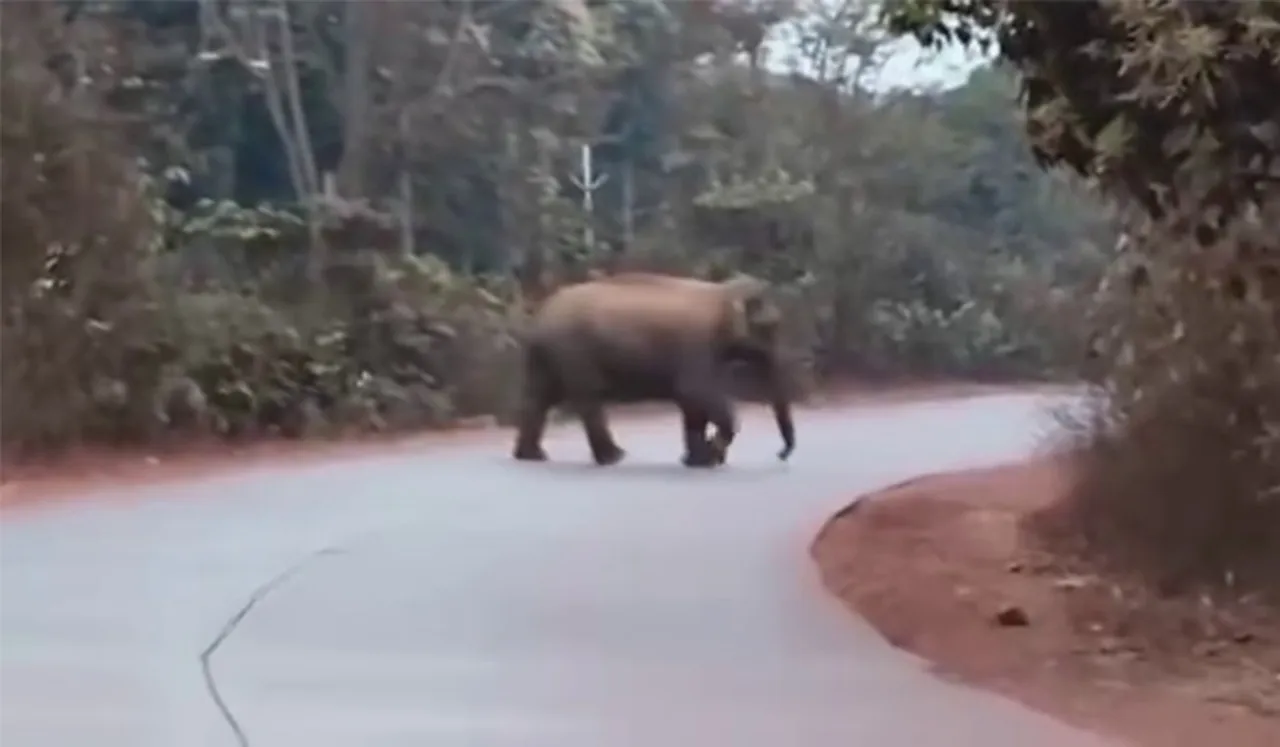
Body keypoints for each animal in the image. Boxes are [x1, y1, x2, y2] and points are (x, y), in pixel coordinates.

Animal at [510, 271, 796, 468]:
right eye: (771, 326)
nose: (781, 455)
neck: (722, 293)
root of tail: (539, 317)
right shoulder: (697, 343)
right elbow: (695, 391)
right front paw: (711, 457)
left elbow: (692, 404)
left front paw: (696, 460)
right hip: (573, 351)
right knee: (588, 397)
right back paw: (614, 457)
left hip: (548, 355)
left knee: (538, 398)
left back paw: (531, 456)